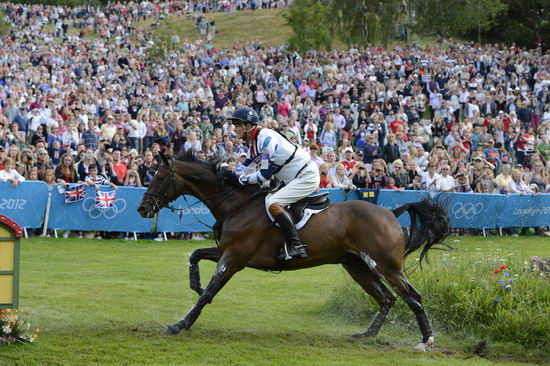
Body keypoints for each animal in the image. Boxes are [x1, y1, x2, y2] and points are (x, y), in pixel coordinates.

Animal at [138, 152, 452, 352]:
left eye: (160, 177)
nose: (143, 209)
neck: (236, 204)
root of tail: (390, 212)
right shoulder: (228, 253)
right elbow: (195, 256)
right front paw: (195, 284)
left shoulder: (234, 259)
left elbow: (208, 295)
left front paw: (180, 324)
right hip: (357, 266)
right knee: (387, 299)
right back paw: (366, 334)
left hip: (386, 266)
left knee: (412, 297)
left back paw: (426, 341)